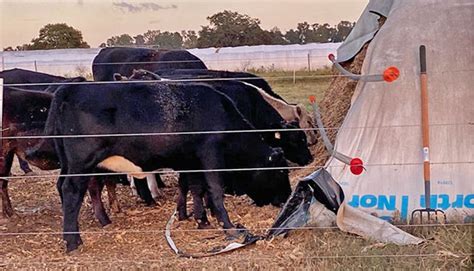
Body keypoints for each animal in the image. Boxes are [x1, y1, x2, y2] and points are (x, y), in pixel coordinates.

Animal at [45, 81, 288, 253]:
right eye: (280, 172)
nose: (285, 198)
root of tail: (69, 89)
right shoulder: (210, 153)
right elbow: (215, 190)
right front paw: (228, 226)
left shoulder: (191, 160)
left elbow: (195, 188)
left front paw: (201, 220)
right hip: (82, 163)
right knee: (72, 191)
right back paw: (73, 241)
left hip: (68, 163)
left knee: (62, 187)